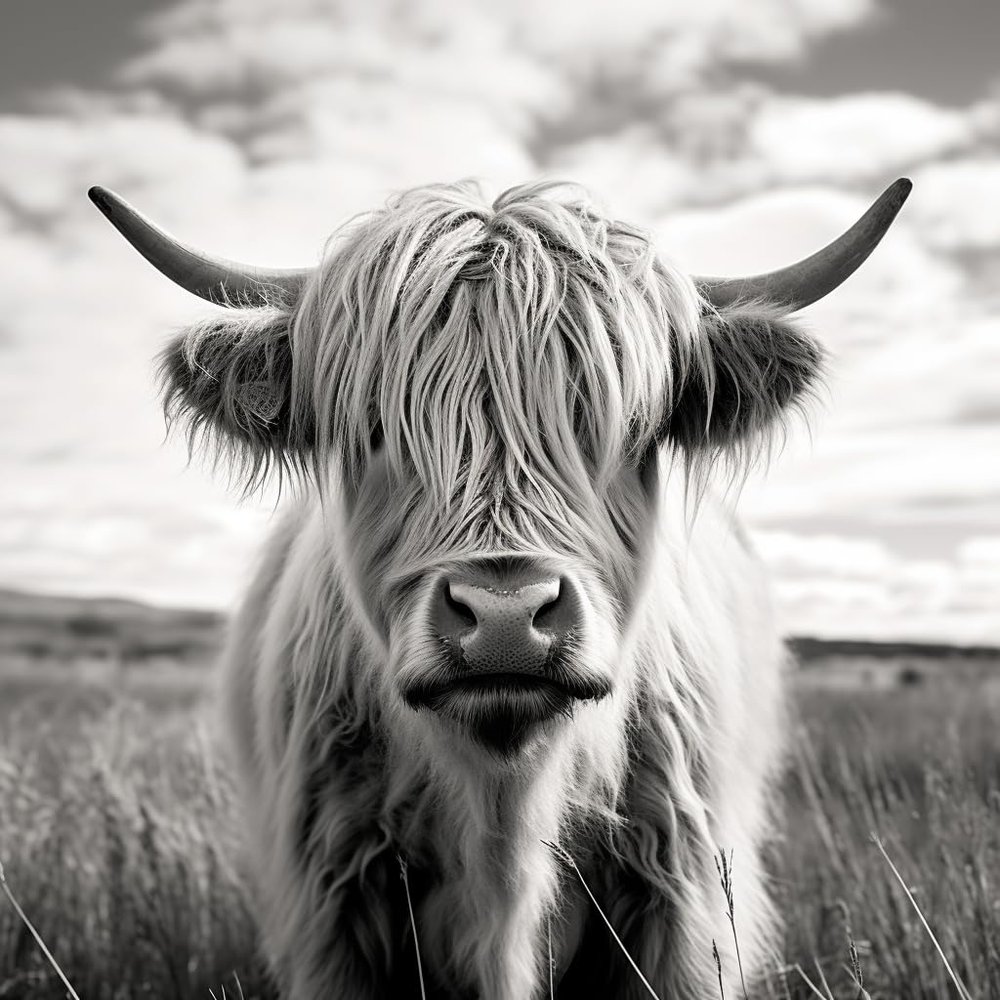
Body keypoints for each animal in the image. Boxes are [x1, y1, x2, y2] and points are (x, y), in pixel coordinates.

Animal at [91, 177, 910, 999]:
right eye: (374, 427)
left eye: (629, 429)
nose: (507, 617)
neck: (504, 798)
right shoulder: (331, 906)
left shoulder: (681, 905)